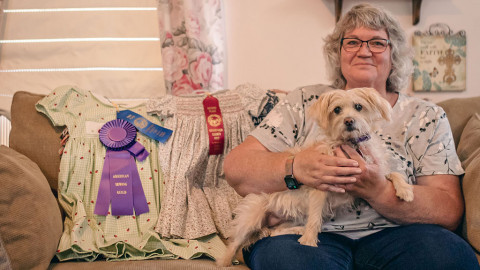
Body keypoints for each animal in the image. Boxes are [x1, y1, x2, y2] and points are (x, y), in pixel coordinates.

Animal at [218, 87, 412, 266]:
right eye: (337, 110)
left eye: (358, 106)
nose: (349, 121)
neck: (350, 144)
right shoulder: (321, 186)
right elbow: (315, 217)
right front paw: (309, 241)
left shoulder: (375, 171)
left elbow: (394, 173)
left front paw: (405, 190)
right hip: (251, 218)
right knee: (233, 245)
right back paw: (225, 263)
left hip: (290, 219)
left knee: (275, 232)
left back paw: (295, 231)